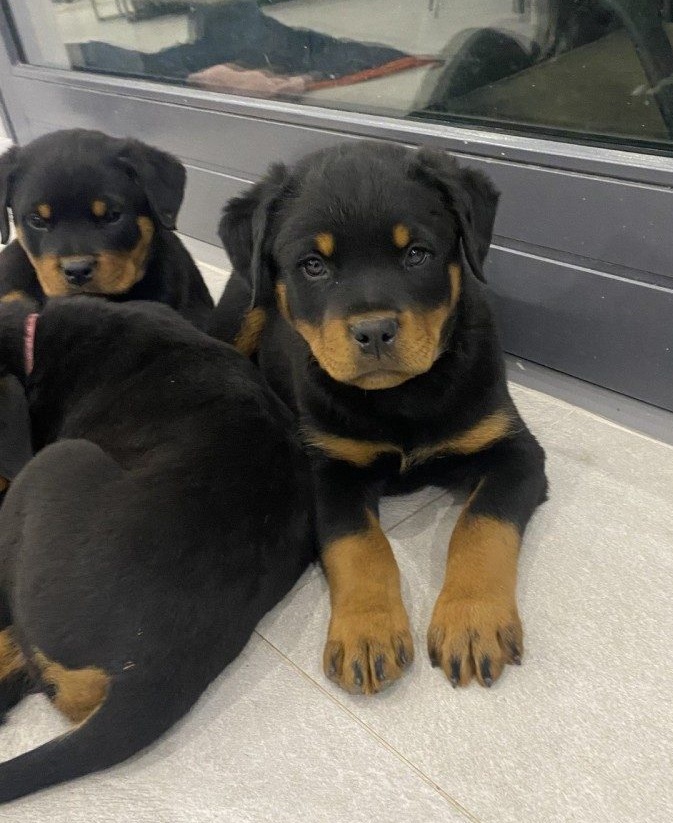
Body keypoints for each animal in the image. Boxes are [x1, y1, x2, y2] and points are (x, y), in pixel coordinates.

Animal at [209, 141, 547, 695]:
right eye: (313, 265)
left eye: (416, 254)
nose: (373, 331)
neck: (400, 398)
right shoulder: (328, 467)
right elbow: (359, 545)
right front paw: (368, 634)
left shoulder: (513, 449)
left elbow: (481, 525)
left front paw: (472, 622)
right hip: (242, 311)